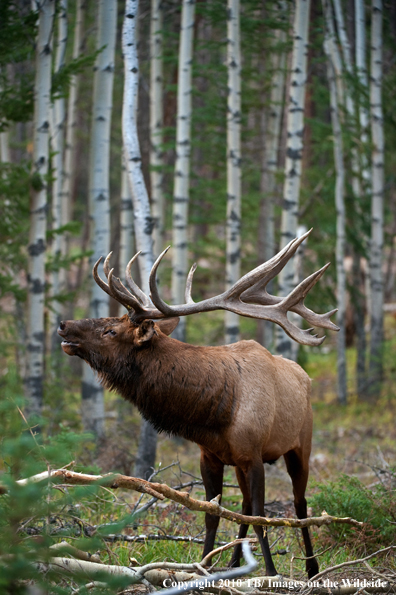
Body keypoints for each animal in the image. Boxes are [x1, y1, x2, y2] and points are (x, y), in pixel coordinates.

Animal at [58, 230, 338, 580]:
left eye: (111, 330)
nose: (63, 324)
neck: (216, 414)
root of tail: (305, 376)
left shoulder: (254, 454)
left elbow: (262, 517)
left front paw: (271, 572)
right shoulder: (211, 456)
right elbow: (213, 514)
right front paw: (202, 568)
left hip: (301, 446)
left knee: (299, 504)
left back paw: (312, 567)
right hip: (244, 463)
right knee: (244, 505)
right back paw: (235, 563)